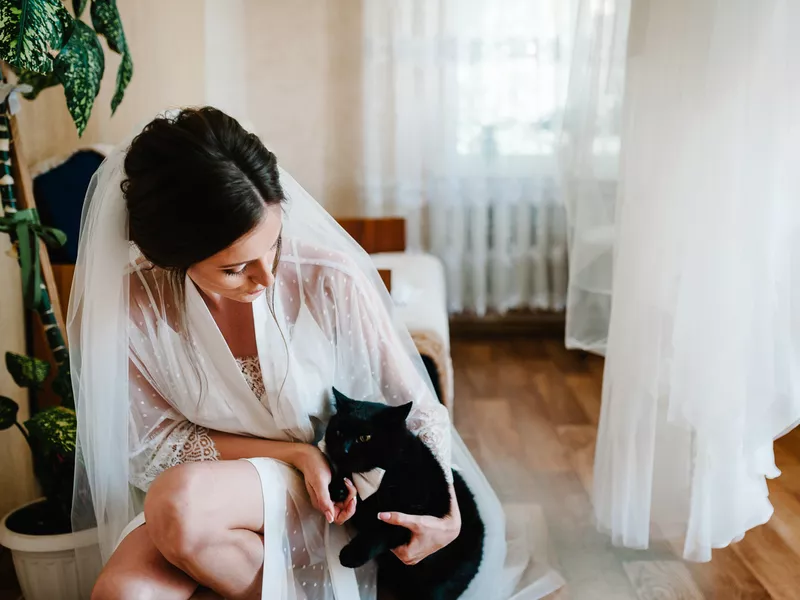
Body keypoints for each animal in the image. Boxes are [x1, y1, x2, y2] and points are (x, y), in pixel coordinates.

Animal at [324, 390, 484, 600]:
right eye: (338, 433)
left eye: (365, 437)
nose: (344, 449)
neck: (382, 475)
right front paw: (337, 487)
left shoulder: (414, 517)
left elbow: (381, 530)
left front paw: (352, 554)